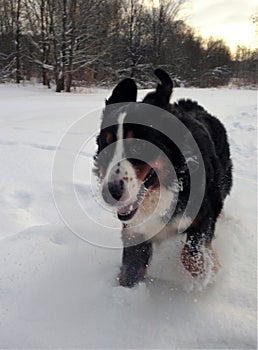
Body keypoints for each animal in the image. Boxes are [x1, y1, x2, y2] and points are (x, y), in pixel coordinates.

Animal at [93, 68, 232, 288]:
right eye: (104, 146)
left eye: (139, 146)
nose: (110, 193)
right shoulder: (135, 233)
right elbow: (130, 273)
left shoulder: (205, 214)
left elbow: (190, 255)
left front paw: (207, 272)